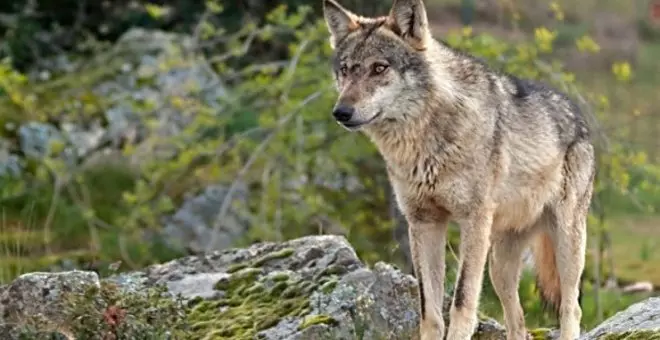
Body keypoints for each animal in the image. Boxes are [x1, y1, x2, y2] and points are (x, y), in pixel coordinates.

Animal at [322, 0, 596, 340]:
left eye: (380, 68)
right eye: (346, 70)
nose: (341, 112)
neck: (425, 141)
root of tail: (579, 117)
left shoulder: (472, 221)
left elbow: (463, 302)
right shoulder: (423, 223)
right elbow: (430, 311)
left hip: (566, 244)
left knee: (571, 308)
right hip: (499, 265)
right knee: (518, 321)